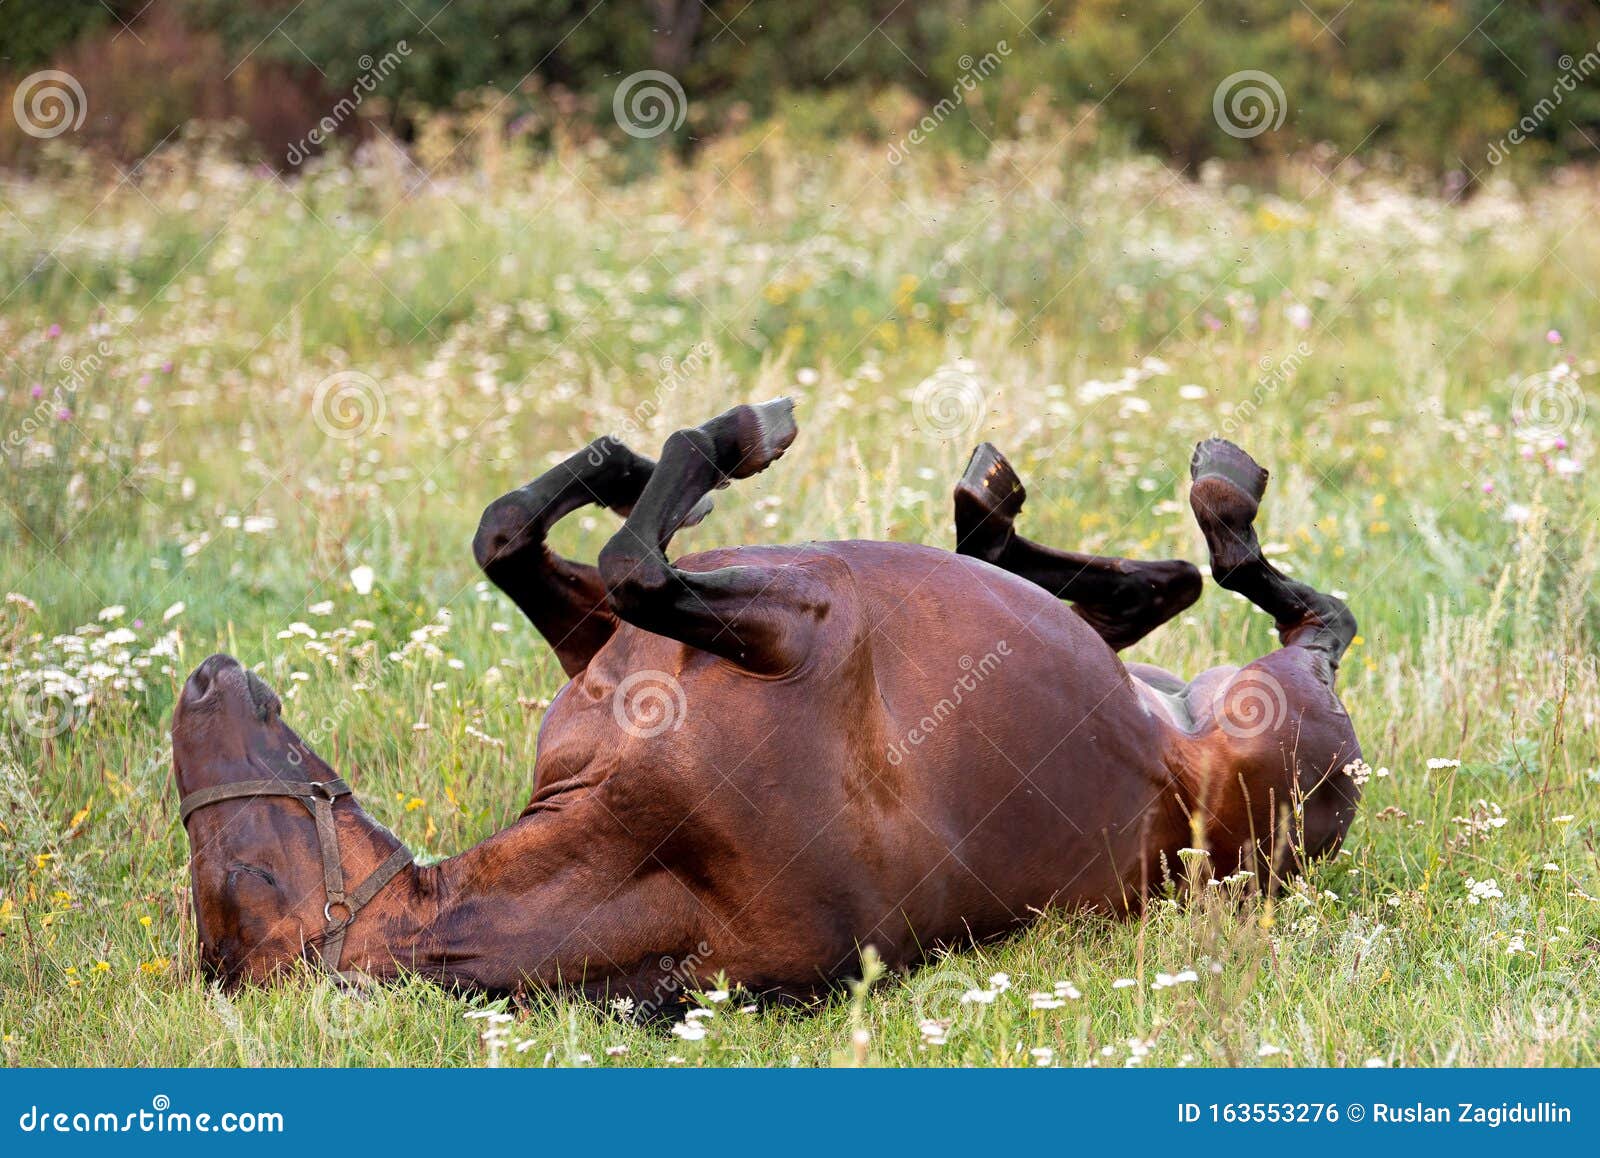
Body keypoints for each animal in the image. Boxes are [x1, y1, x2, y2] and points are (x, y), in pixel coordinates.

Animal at [172, 395, 1363, 998]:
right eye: (243, 876)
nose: (202, 678)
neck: (653, 853)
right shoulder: (794, 621)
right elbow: (635, 561)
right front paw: (735, 434)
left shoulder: (608, 644)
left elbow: (516, 533)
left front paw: (626, 461)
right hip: (1269, 720)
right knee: (1300, 610)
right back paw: (1211, 499)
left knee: (1151, 590)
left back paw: (994, 510)